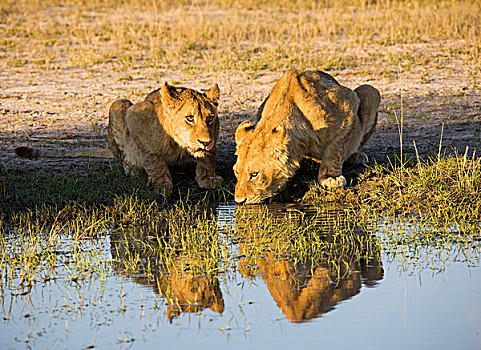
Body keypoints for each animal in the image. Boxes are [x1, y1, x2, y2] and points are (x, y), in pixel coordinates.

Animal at [15, 83, 223, 196]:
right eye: (189, 118)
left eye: (210, 118)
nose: (204, 141)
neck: (180, 146)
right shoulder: (135, 116)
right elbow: (153, 159)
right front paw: (161, 186)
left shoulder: (213, 136)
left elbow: (207, 160)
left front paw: (208, 179)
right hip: (119, 104)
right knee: (123, 155)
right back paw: (132, 168)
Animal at [232, 69, 378, 204]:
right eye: (236, 172)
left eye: (254, 174)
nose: (239, 201)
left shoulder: (348, 103)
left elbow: (336, 150)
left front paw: (331, 177)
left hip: (370, 91)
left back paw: (356, 156)